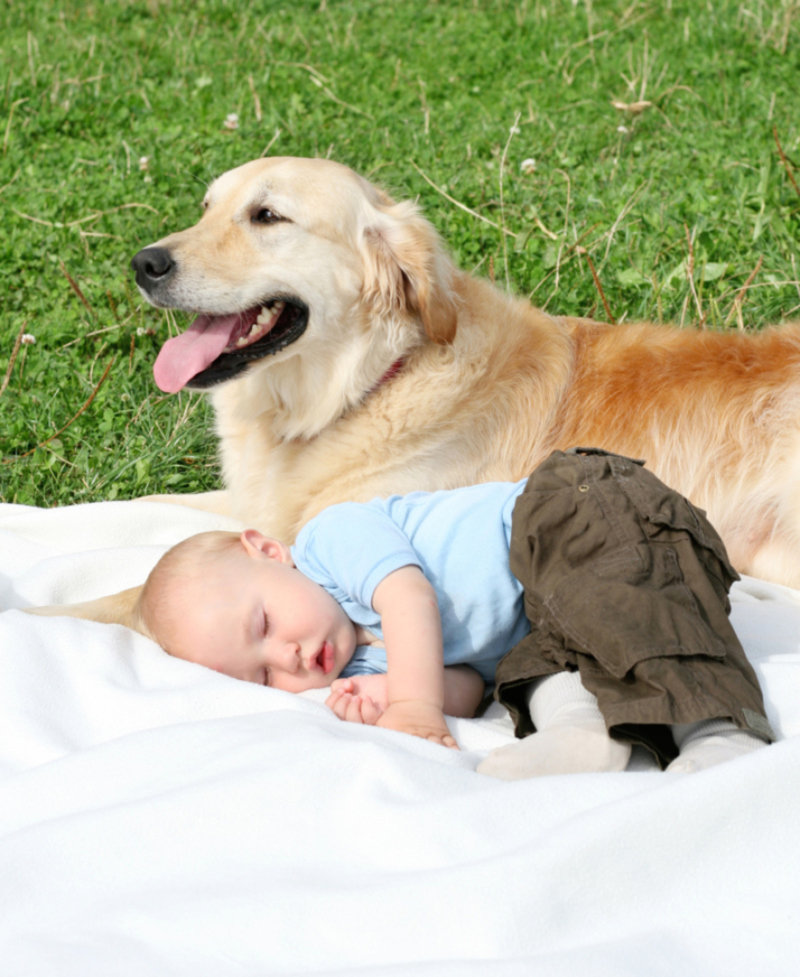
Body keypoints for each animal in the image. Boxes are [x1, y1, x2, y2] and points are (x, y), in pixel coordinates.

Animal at [28, 157, 800, 632]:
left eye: (268, 216)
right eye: (208, 208)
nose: (144, 263)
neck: (365, 386)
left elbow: (134, 594)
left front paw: (35, 618)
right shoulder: (261, 507)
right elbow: (137, 509)